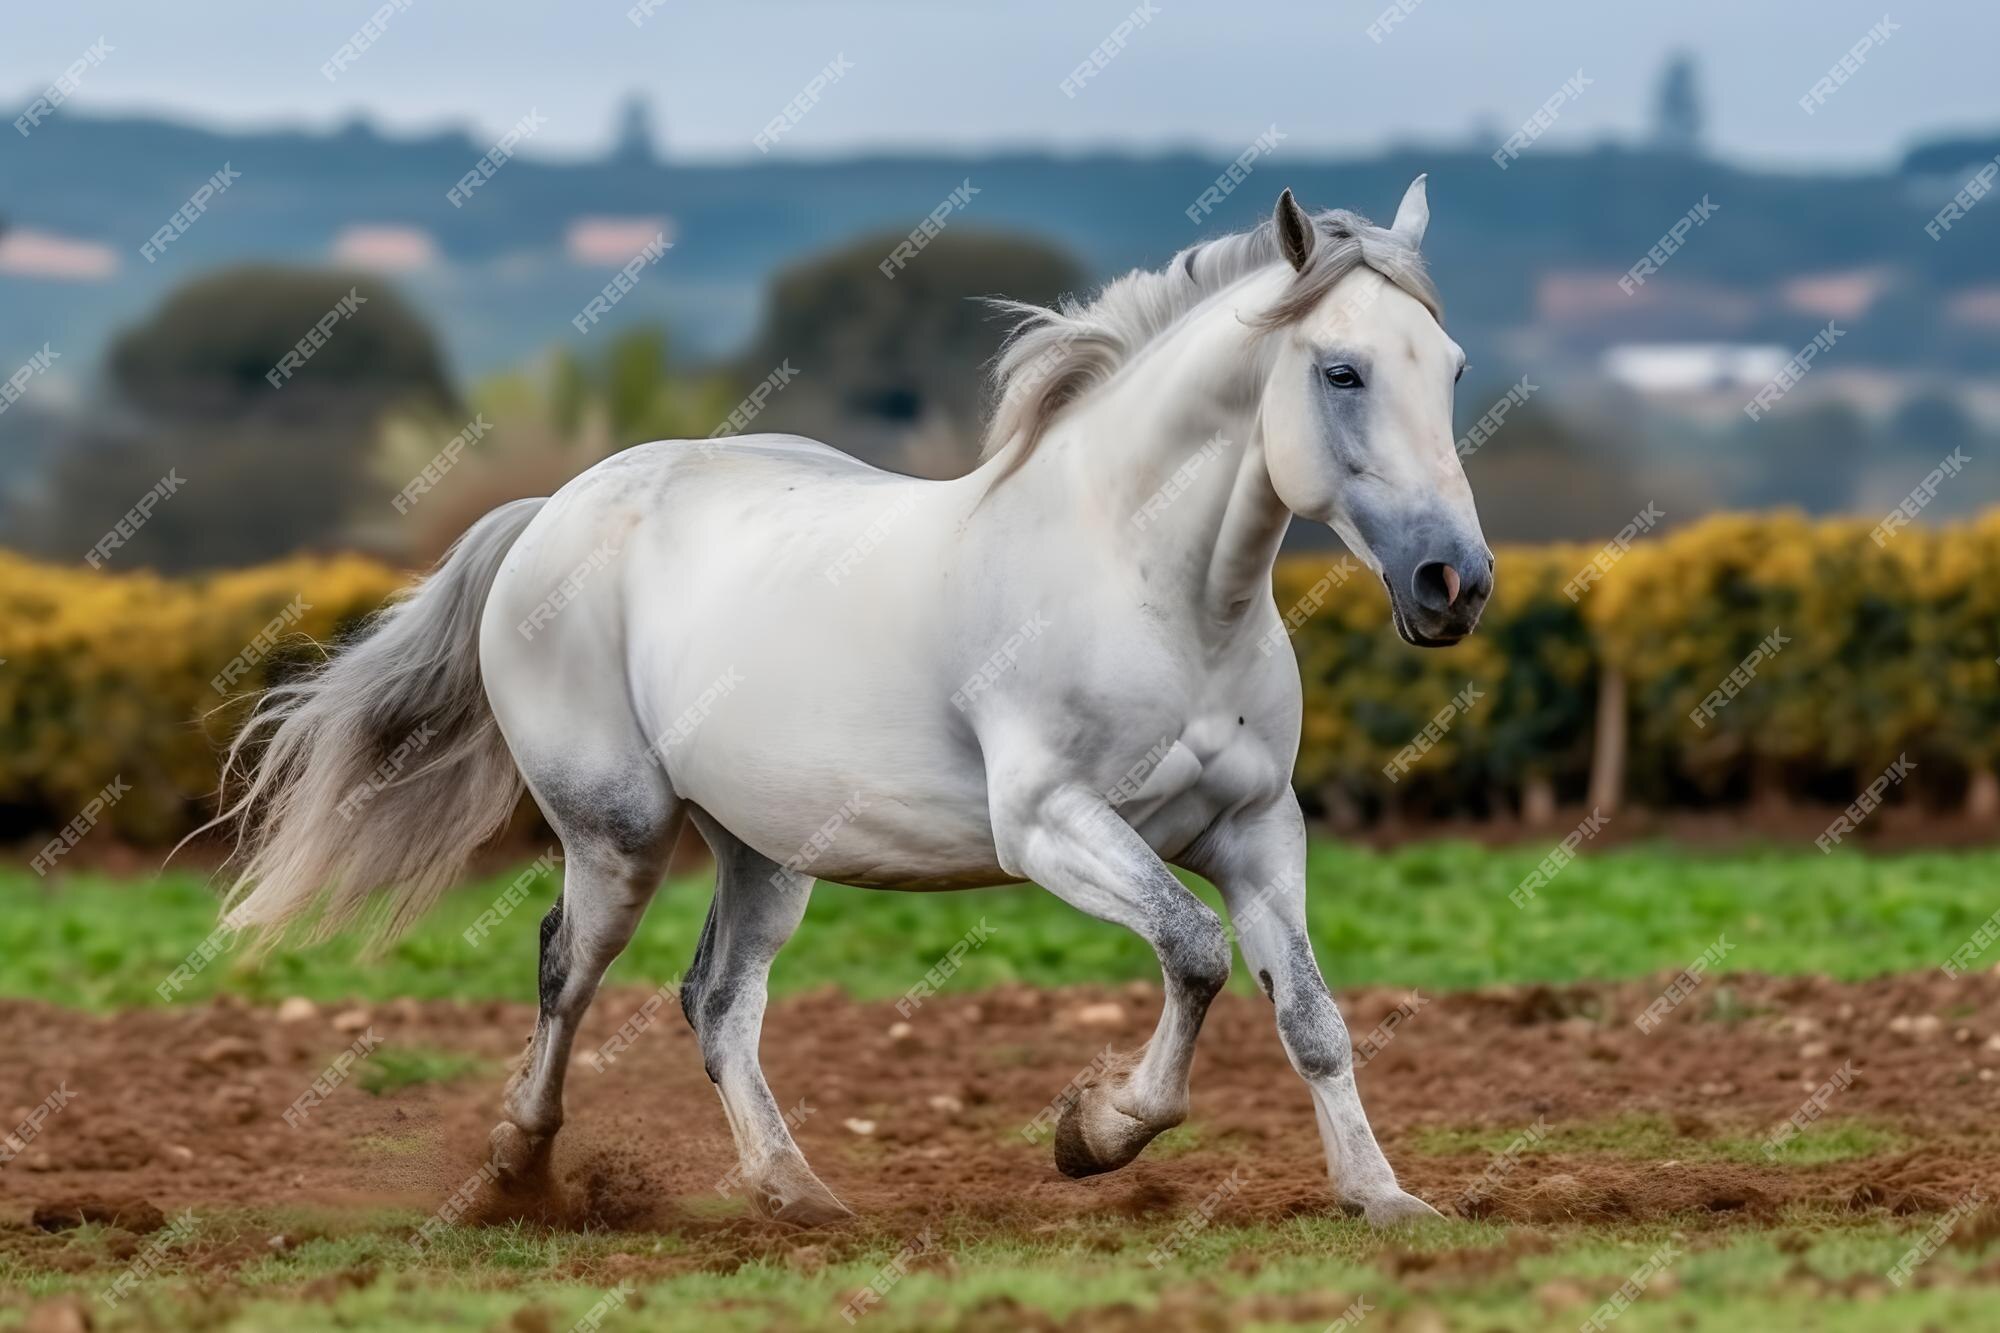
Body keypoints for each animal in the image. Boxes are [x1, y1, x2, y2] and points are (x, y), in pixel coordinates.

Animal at [227, 184, 1496, 1224]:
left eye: (1450, 367)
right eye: (1340, 371)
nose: (1453, 583)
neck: (1157, 594)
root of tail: (557, 507)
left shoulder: (1255, 830)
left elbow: (1310, 1016)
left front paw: (1382, 1198)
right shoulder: (1046, 823)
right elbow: (1191, 951)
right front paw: (1094, 1134)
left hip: (763, 849)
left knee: (714, 1000)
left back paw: (794, 1191)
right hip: (618, 833)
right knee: (564, 969)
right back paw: (517, 1174)